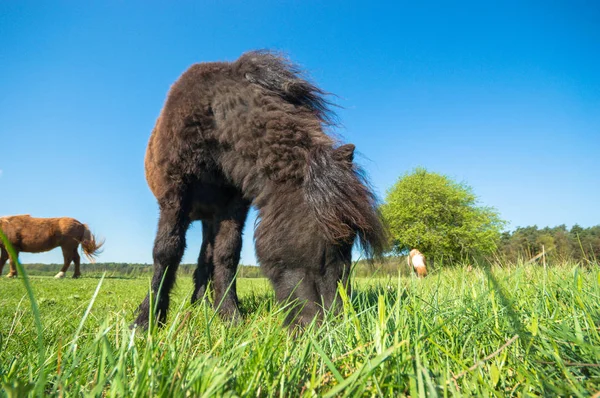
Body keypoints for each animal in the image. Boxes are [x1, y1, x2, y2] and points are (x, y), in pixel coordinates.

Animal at [134, 50, 386, 330]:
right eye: (330, 243)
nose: (336, 322)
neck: (213, 123)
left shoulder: (234, 205)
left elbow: (227, 255)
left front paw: (230, 315)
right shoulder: (174, 196)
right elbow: (166, 251)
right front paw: (146, 319)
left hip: (210, 219)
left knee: (206, 257)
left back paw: (202, 303)